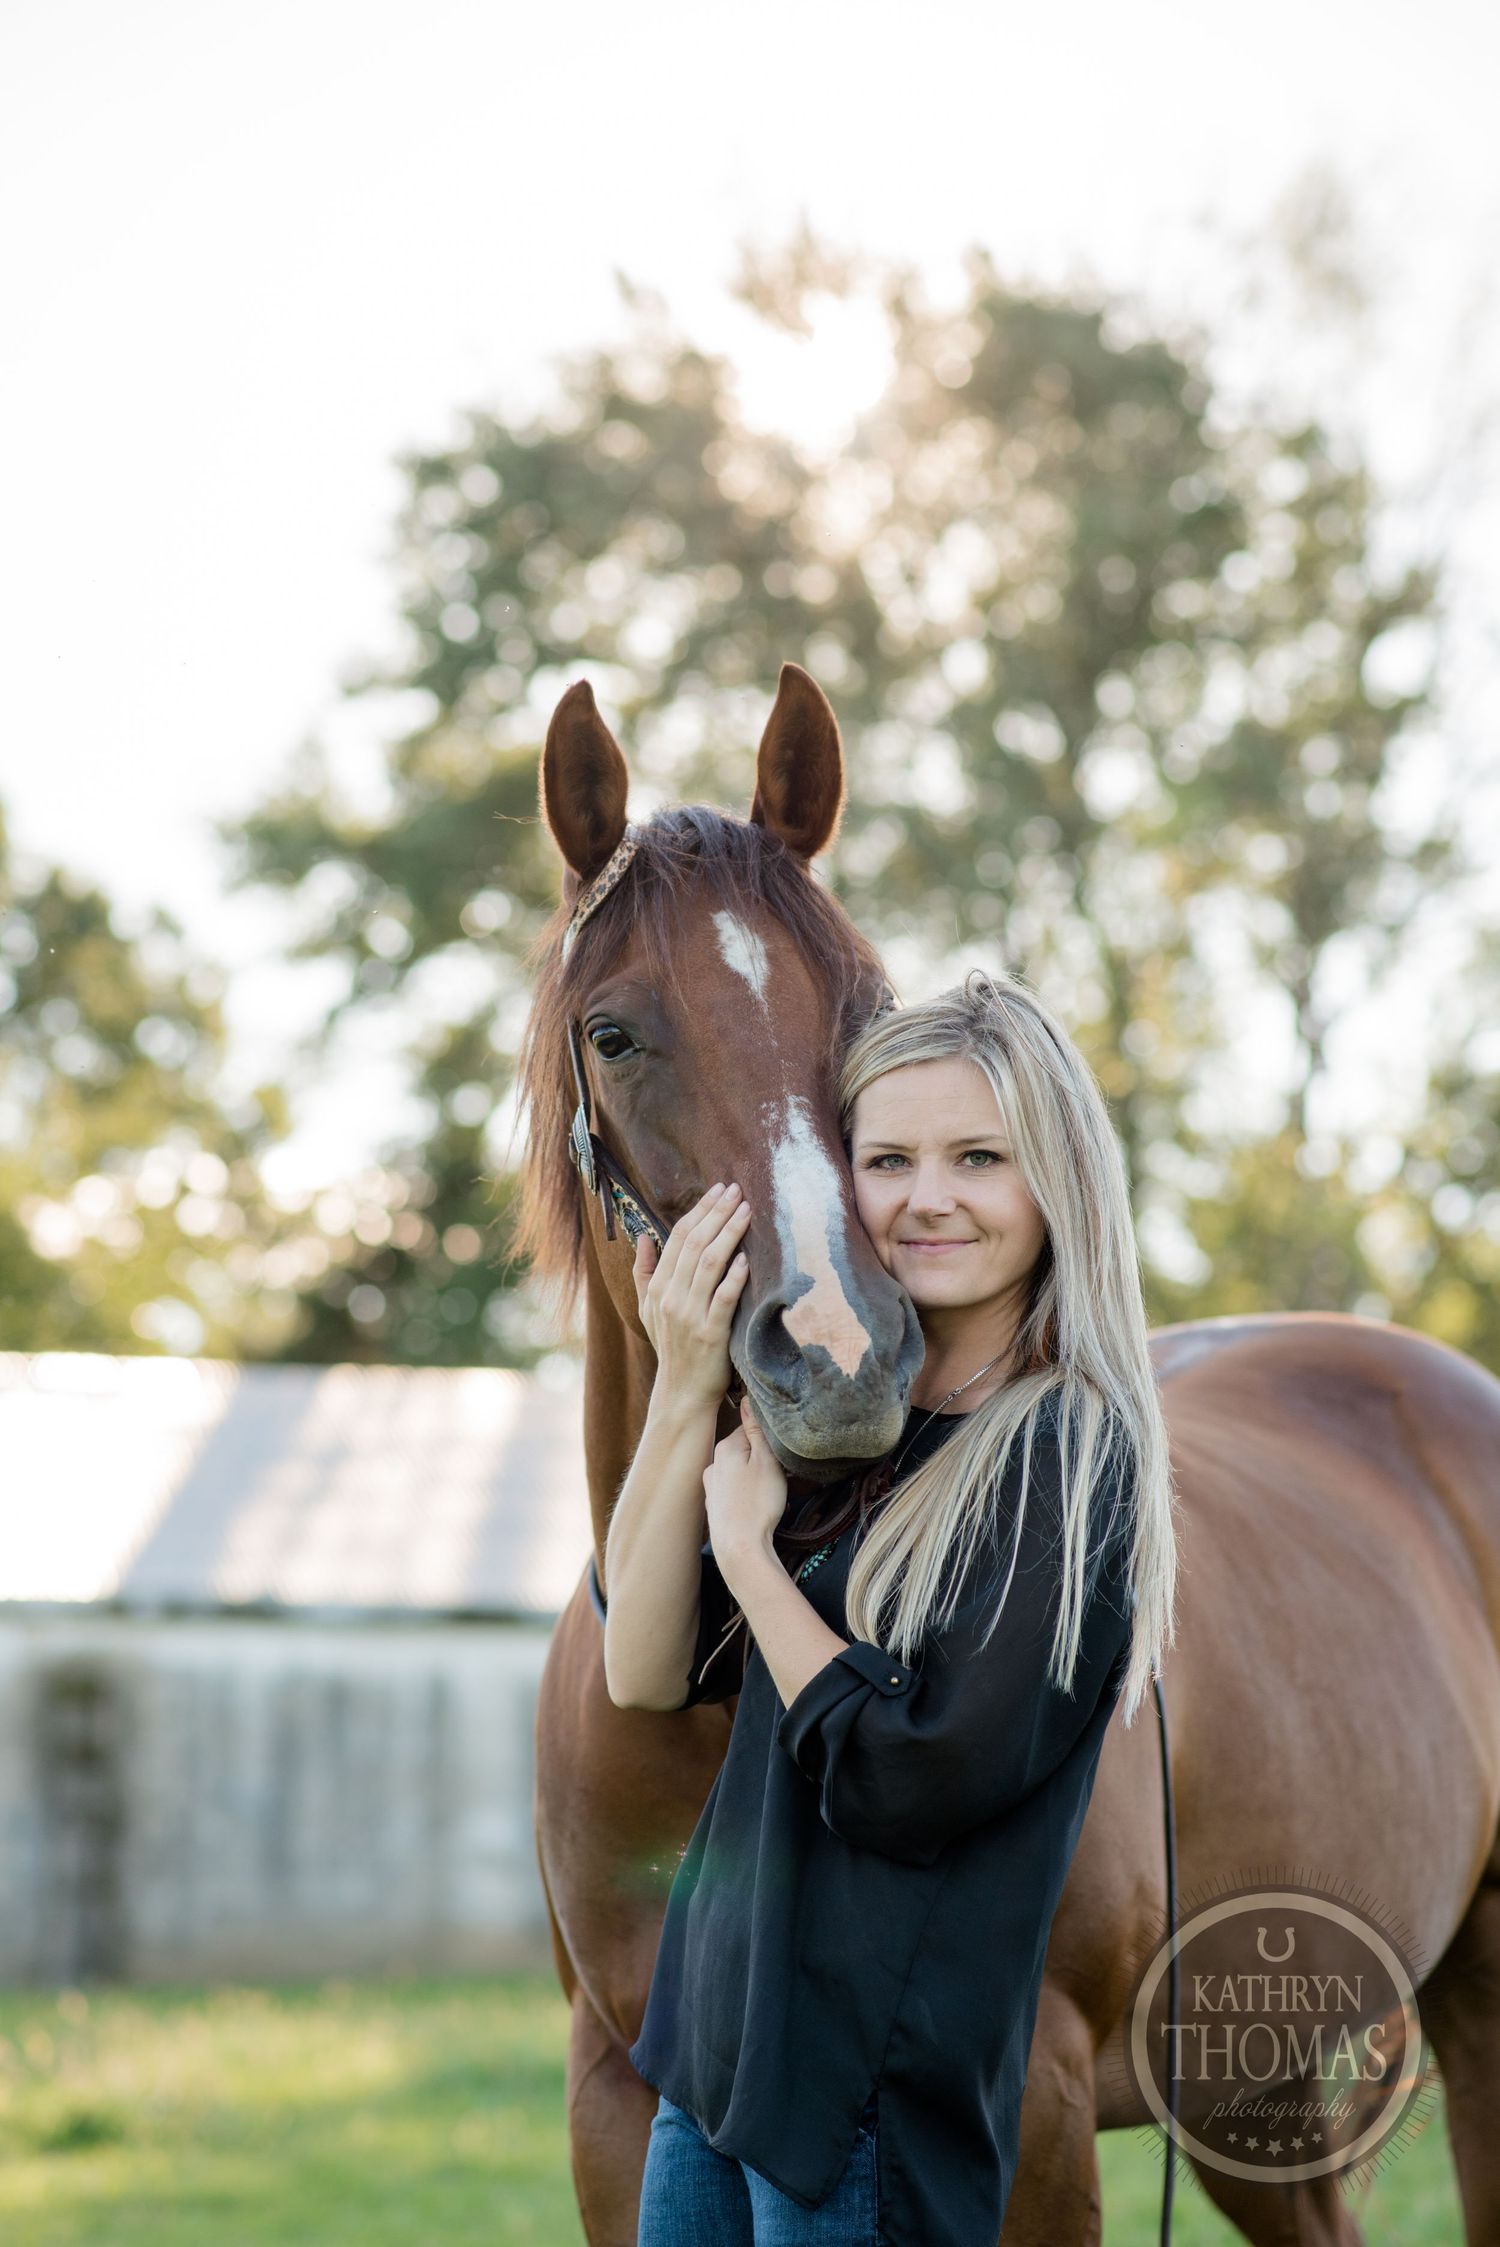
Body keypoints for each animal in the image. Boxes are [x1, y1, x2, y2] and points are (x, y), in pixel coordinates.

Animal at [524, 669, 1500, 2245]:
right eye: (612, 1033)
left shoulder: (1030, 2124)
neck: (709, 1688)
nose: (838, 1355)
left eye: (864, 1014)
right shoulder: (616, 2106)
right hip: (1253, 2084)